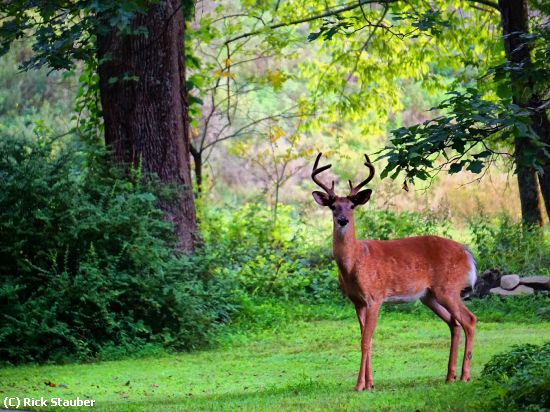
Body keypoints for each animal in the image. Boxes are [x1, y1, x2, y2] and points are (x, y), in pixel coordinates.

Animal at [314, 153, 478, 392]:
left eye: (352, 205)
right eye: (333, 206)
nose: (342, 220)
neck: (355, 262)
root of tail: (466, 252)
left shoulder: (375, 297)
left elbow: (365, 340)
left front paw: (359, 385)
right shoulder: (357, 301)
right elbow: (367, 338)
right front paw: (370, 383)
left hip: (448, 288)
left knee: (470, 320)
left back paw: (465, 376)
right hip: (429, 295)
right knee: (454, 323)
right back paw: (449, 376)